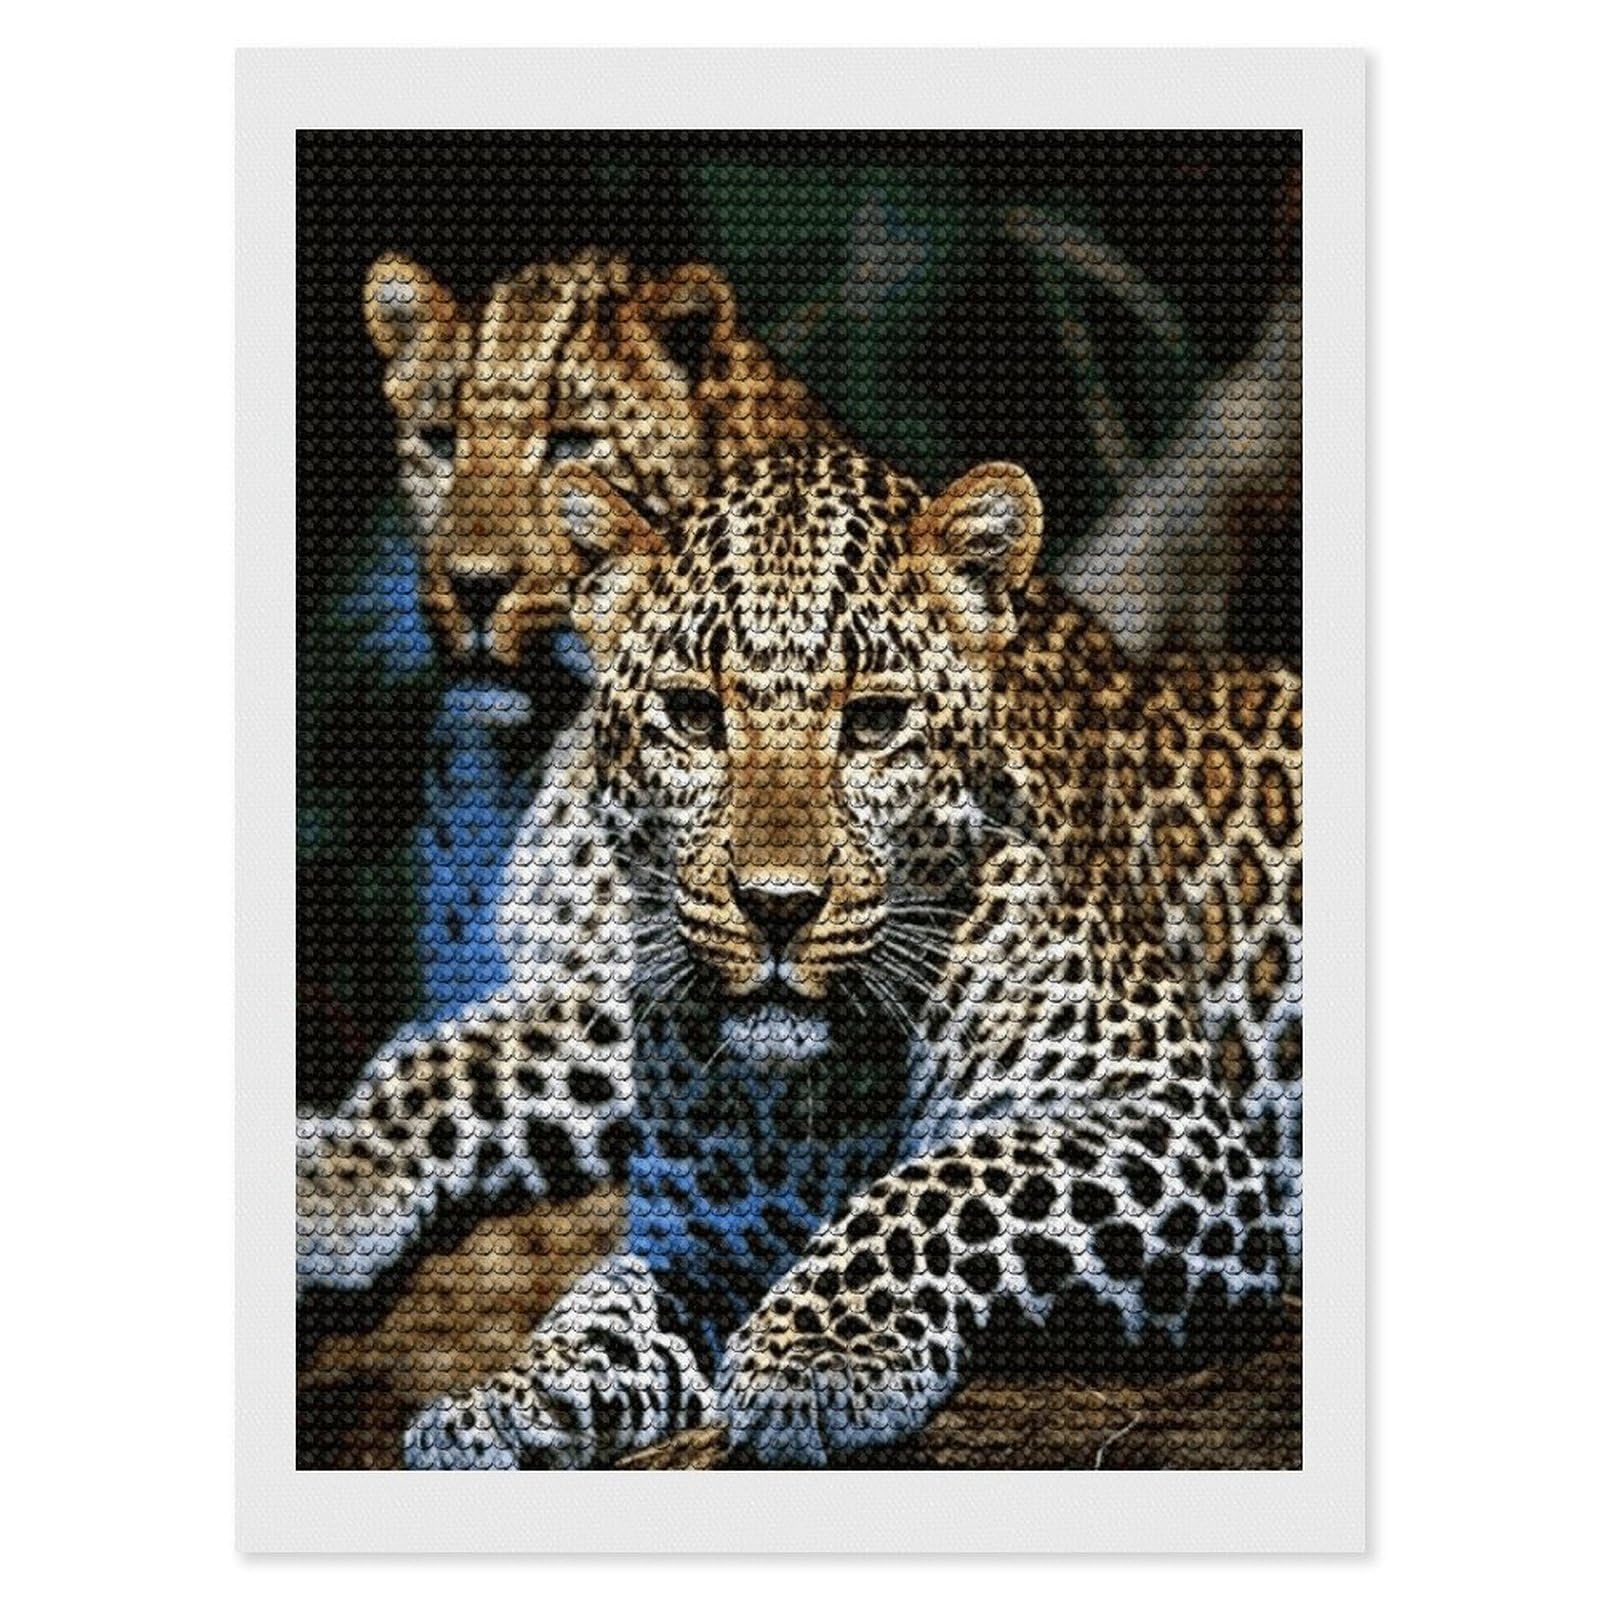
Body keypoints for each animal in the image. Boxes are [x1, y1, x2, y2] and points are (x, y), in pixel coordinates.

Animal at [297, 445, 1302, 1469]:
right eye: (694, 716)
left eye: (873, 722)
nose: (776, 906)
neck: (813, 1100)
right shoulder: (702, 1240)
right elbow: (601, 1306)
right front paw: (497, 1407)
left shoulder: (1178, 1124)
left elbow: (950, 1177)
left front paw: (813, 1354)